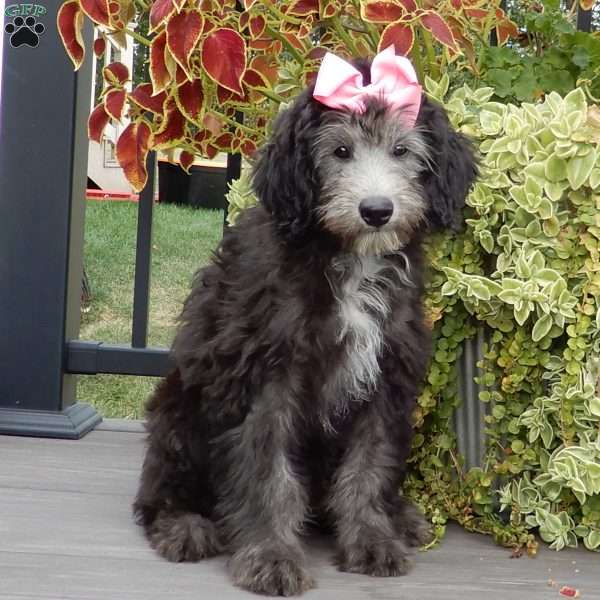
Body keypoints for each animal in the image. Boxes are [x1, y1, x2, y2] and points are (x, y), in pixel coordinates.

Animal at [134, 52, 476, 596]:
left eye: (402, 150)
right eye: (340, 151)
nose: (376, 211)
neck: (348, 259)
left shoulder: (385, 375)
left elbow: (368, 465)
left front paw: (371, 539)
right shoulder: (265, 374)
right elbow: (268, 474)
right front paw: (271, 557)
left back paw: (399, 516)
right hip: (178, 410)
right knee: (157, 493)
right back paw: (183, 526)